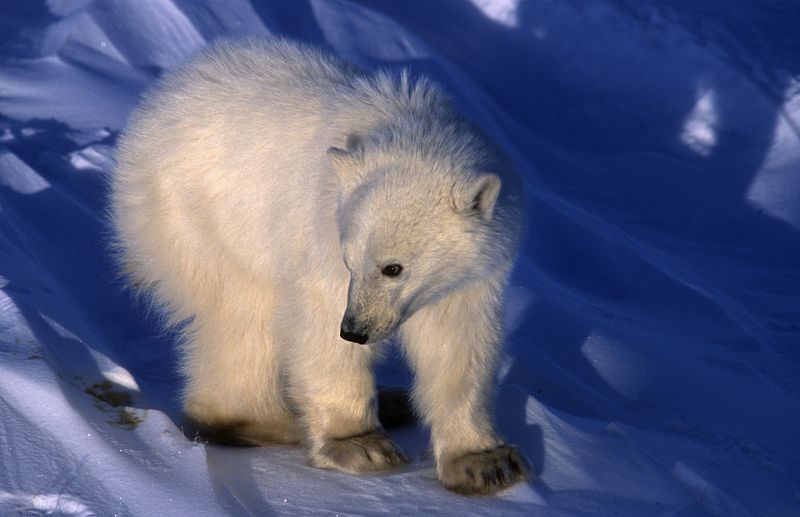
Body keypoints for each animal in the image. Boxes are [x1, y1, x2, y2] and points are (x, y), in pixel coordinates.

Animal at [109, 38, 528, 494]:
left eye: (393, 268)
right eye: (351, 262)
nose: (356, 330)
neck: (413, 132)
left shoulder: (473, 270)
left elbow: (457, 340)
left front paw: (485, 463)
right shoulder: (323, 224)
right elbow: (320, 317)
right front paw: (360, 445)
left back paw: (393, 400)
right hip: (203, 220)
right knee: (243, 318)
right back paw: (266, 421)